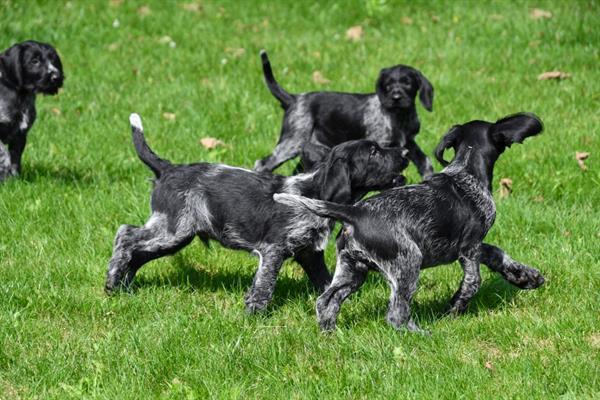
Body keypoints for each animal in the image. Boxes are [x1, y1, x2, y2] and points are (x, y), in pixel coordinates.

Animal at [0, 39, 64, 181]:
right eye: (35, 61)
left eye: (53, 59)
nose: (57, 77)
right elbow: (4, 155)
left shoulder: (20, 135)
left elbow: (15, 159)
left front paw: (15, 180)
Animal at [105, 112, 410, 312]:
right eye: (373, 152)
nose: (405, 153)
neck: (313, 191)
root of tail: (167, 168)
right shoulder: (273, 250)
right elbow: (264, 285)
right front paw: (255, 315)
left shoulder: (309, 252)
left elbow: (324, 282)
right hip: (173, 229)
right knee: (126, 235)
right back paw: (111, 281)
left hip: (176, 236)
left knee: (138, 252)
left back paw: (123, 285)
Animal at [254, 49, 436, 177]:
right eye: (388, 85)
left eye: (407, 83)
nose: (396, 98)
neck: (399, 116)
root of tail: (294, 99)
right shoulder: (382, 144)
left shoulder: (409, 142)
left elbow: (424, 162)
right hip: (291, 143)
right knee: (262, 164)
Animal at [274, 112, 548, 332]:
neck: (465, 170)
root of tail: (354, 212)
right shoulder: (469, 247)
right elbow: (472, 282)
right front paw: (455, 308)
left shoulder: (474, 245)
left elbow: (497, 253)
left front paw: (525, 276)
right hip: (407, 261)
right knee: (396, 314)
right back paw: (422, 334)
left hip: (352, 269)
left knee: (325, 302)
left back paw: (328, 333)